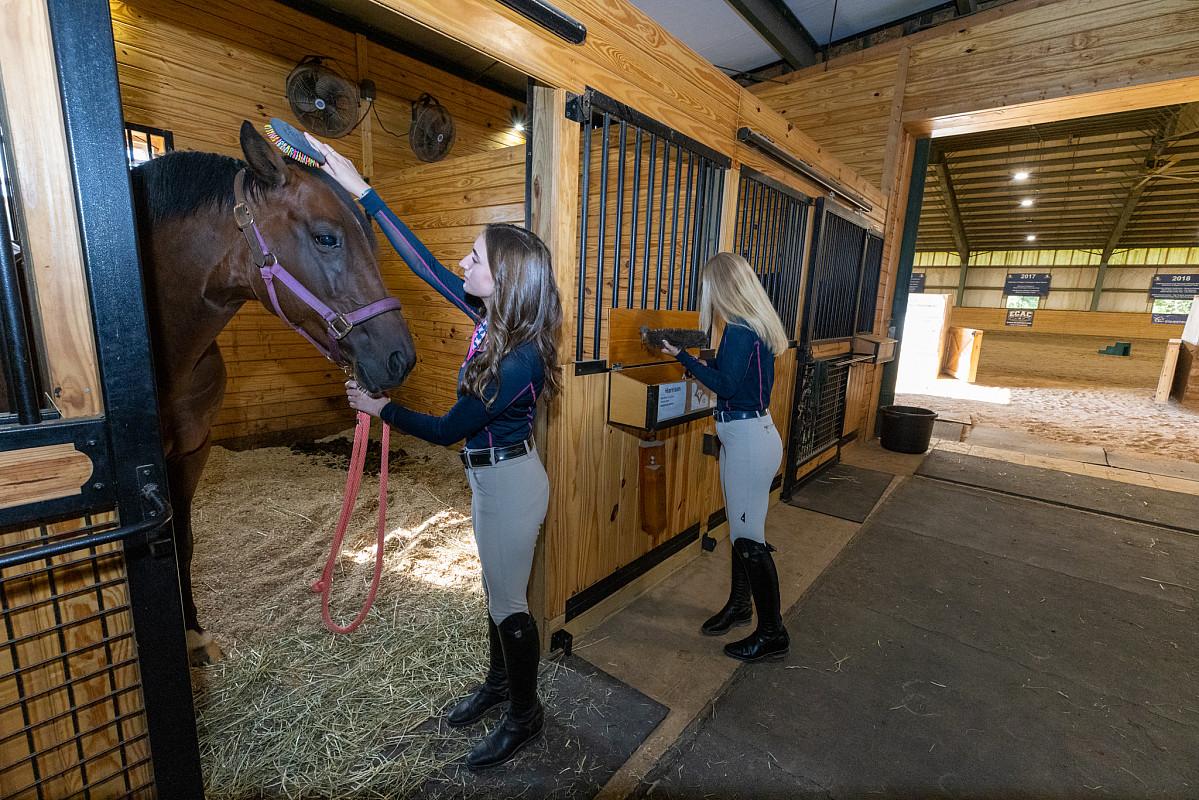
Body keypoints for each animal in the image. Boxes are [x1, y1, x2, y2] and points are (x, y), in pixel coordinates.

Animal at [130, 121, 416, 665]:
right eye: (326, 238)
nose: (400, 359)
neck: (168, 349)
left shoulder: (192, 452)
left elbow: (184, 541)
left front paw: (192, 633)